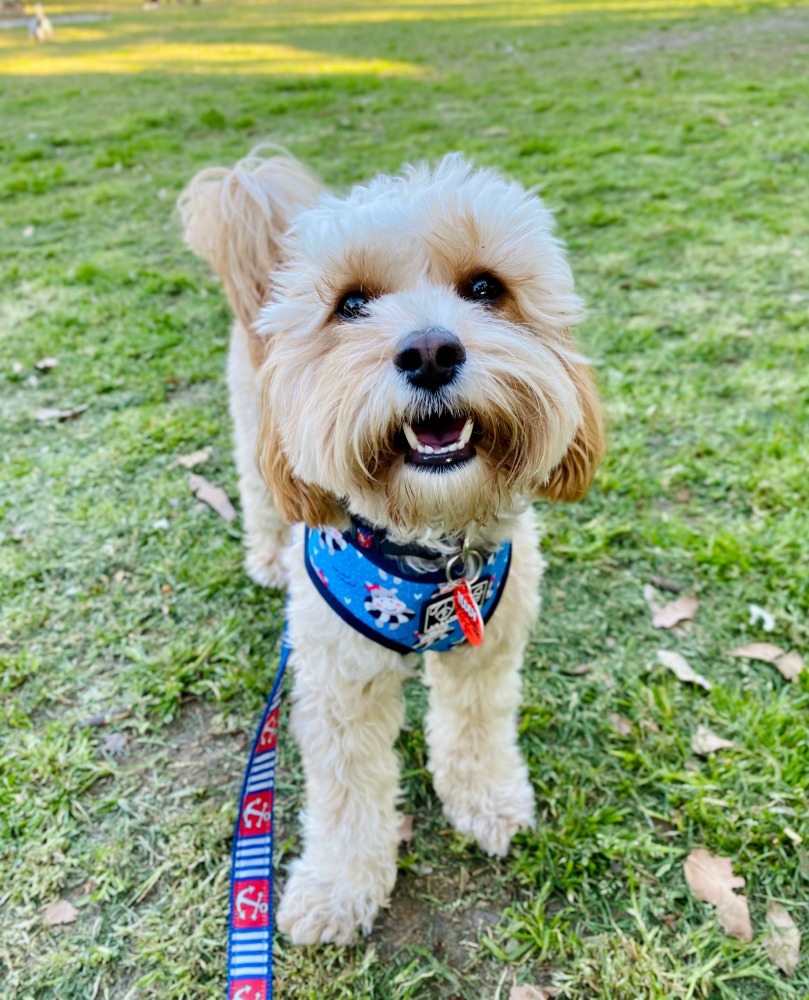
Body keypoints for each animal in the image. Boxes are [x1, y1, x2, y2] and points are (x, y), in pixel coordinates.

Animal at [180, 148, 604, 944]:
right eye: (350, 305)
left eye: (485, 288)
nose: (431, 350)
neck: (430, 554)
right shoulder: (338, 682)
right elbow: (348, 792)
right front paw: (339, 889)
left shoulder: (488, 648)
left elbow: (475, 728)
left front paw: (488, 800)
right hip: (255, 426)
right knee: (258, 491)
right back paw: (266, 556)